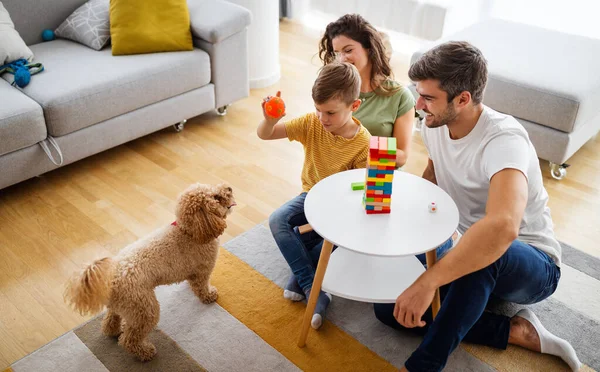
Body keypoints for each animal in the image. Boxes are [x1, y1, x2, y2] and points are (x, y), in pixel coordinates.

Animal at [63, 183, 234, 360]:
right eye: (215, 197)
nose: (229, 188)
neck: (189, 231)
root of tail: (111, 277)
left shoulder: (194, 271)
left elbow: (193, 283)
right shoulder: (203, 270)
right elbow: (202, 287)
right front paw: (209, 296)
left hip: (123, 306)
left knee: (110, 320)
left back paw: (115, 330)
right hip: (145, 308)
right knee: (129, 339)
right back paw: (145, 352)